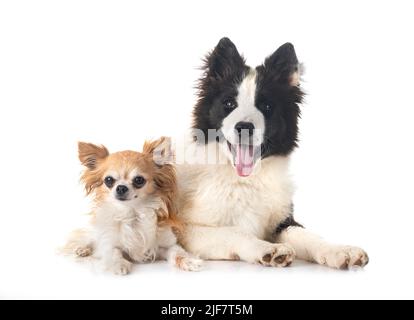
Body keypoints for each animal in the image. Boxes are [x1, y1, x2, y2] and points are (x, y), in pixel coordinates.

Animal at [177, 37, 368, 268]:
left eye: (266, 106)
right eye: (229, 103)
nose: (244, 127)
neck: (246, 181)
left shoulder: (283, 220)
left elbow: (306, 235)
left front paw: (339, 250)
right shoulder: (187, 229)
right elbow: (234, 232)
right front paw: (268, 248)